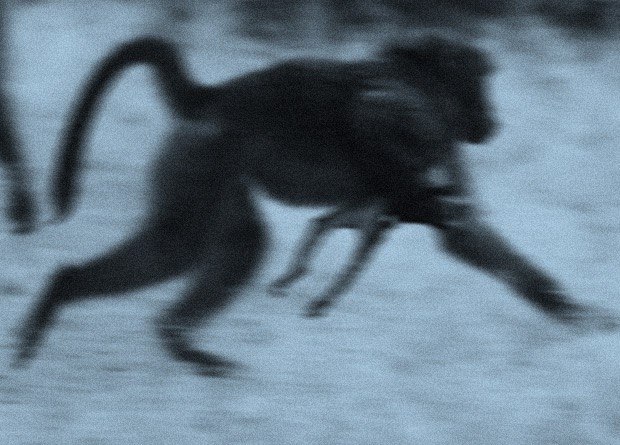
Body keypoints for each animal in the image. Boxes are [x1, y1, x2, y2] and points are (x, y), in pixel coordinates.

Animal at [13, 35, 616, 376]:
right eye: (483, 79)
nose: (494, 123)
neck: (424, 80)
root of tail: (212, 96)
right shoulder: (408, 118)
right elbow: (370, 122)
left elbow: (464, 234)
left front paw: (580, 317)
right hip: (207, 159)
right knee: (194, 246)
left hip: (208, 167)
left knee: (207, 246)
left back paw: (144, 328)